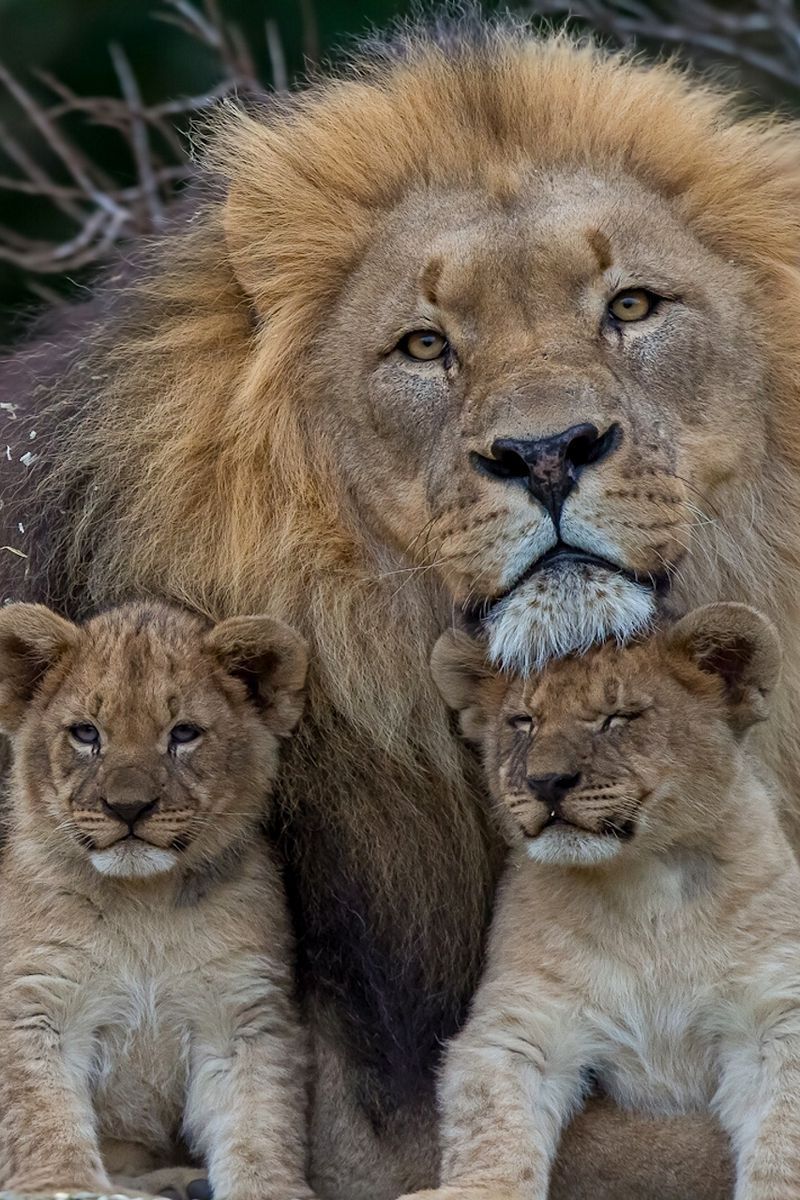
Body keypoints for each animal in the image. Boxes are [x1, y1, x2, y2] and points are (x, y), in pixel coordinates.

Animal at [0, 600, 314, 1200]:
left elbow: (259, 1118)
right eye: (86, 733)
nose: (128, 807)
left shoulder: (240, 1016)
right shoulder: (36, 1001)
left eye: (184, 733)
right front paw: (63, 1183)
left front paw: (267, 1187)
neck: (145, 903)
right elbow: (40, 1112)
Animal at [422, 603, 799, 1200]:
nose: (547, 781)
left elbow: (784, 1135)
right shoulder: (523, 1023)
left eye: (618, 717)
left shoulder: (773, 1014)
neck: (643, 885)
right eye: (522, 723)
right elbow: (492, 1125)